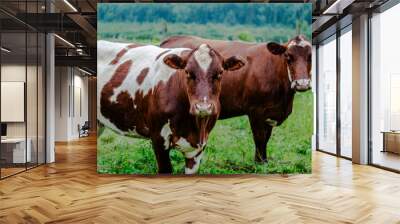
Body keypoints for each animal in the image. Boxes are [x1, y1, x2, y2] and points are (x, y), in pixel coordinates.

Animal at [98, 40, 245, 173]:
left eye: (220, 73)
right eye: (187, 72)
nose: (203, 107)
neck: (193, 126)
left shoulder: (199, 147)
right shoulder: (158, 138)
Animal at [160, 36, 312, 164]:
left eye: (311, 57)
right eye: (288, 56)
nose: (302, 83)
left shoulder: (270, 114)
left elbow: (266, 138)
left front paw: (264, 161)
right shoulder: (256, 112)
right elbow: (260, 138)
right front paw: (259, 163)